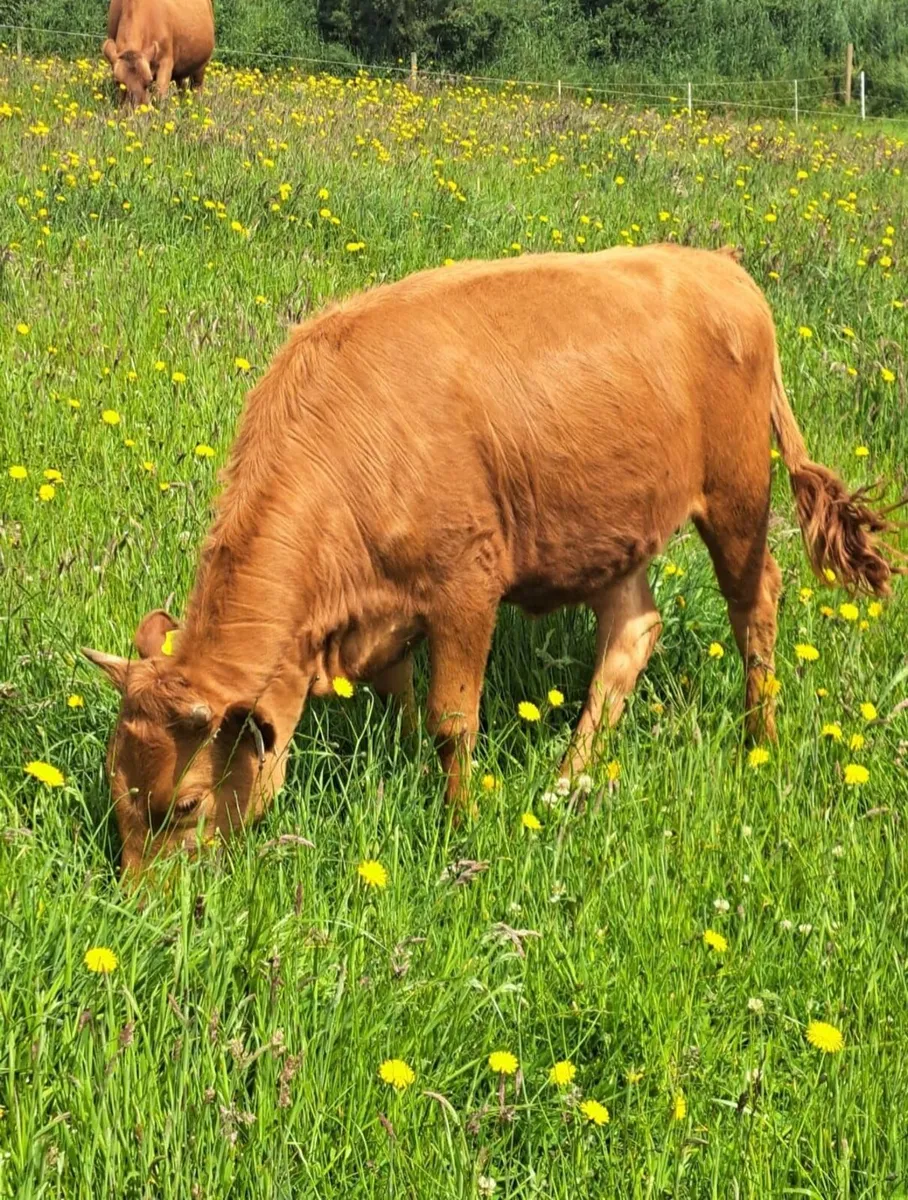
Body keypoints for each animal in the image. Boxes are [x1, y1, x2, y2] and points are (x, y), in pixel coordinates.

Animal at [83, 244, 902, 878]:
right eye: (116, 789)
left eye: (186, 803)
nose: (142, 904)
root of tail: (720, 267)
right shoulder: (382, 615)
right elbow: (403, 703)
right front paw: (411, 771)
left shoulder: (464, 586)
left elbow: (453, 719)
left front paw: (460, 823)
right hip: (615, 531)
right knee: (632, 632)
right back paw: (566, 782)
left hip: (736, 495)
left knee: (754, 601)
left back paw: (758, 742)